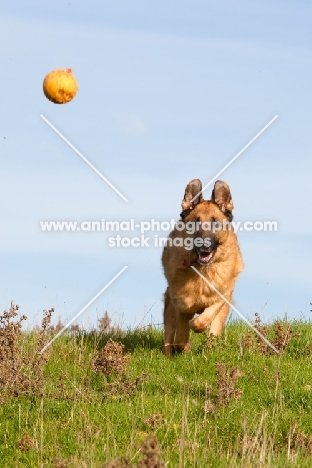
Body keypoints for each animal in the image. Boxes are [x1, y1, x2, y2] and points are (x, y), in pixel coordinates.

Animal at [163, 178, 244, 354]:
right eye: (195, 222)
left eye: (215, 223)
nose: (204, 245)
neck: (202, 271)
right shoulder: (182, 306)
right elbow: (180, 337)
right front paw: (185, 346)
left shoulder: (224, 296)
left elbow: (203, 320)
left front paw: (199, 329)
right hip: (170, 307)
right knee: (169, 336)